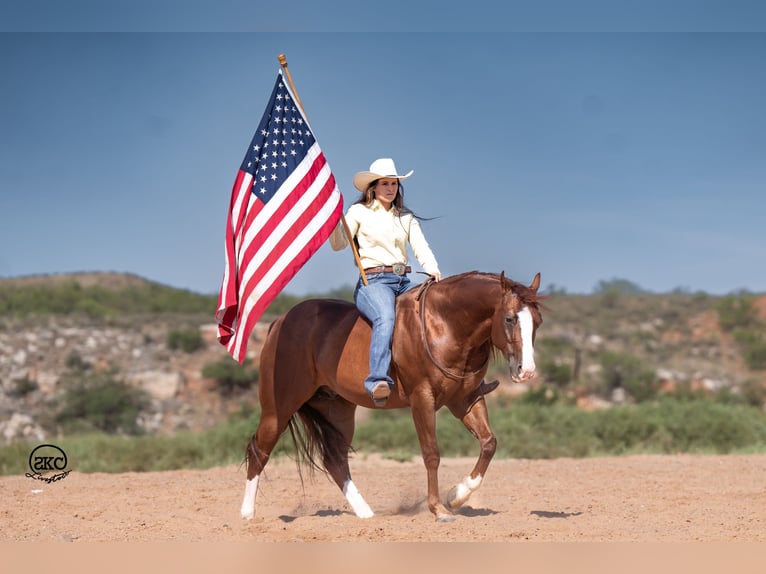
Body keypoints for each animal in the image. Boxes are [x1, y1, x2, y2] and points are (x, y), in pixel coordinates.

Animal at [243, 272, 544, 524]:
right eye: (510, 318)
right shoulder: (422, 399)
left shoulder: (464, 400)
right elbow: (431, 454)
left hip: (337, 409)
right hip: (278, 409)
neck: (444, 324)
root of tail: (279, 323)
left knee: (335, 460)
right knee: (259, 449)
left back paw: (366, 513)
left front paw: (457, 495)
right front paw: (439, 509)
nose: (526, 371)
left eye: (537, 322)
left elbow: (489, 443)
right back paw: (247, 514)